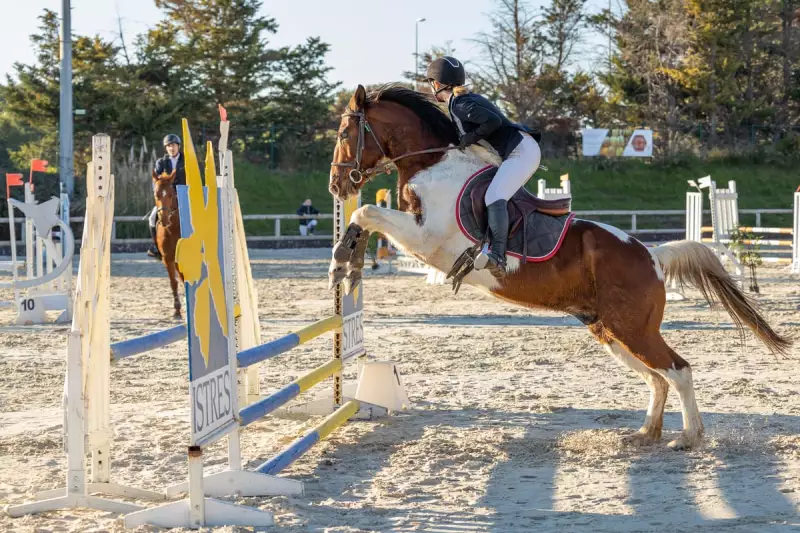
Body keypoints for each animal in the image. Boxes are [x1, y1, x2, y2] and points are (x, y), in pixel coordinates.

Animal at [328, 83, 792, 448]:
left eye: (346, 132)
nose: (335, 184)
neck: (433, 162)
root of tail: (652, 256)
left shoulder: (428, 238)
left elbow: (367, 211)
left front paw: (344, 264)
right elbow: (365, 217)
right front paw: (344, 267)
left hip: (633, 329)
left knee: (678, 370)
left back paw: (689, 437)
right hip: (610, 331)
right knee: (656, 377)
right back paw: (646, 433)